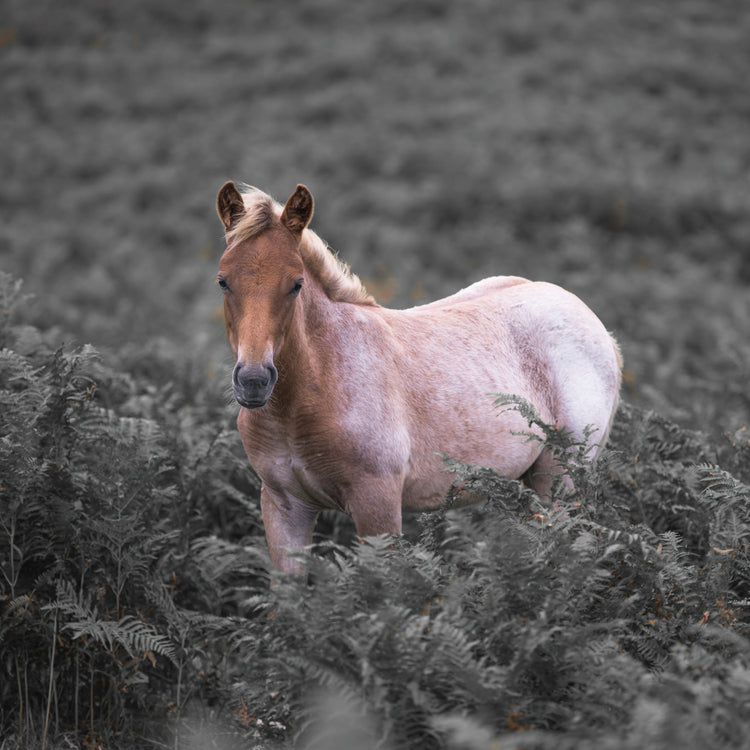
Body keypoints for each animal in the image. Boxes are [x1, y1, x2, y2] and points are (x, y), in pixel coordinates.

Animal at [216, 182, 622, 573]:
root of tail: (596, 324)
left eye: (297, 283)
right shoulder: (284, 507)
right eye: (223, 281)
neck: (312, 393)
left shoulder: (377, 505)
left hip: (559, 482)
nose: (254, 380)